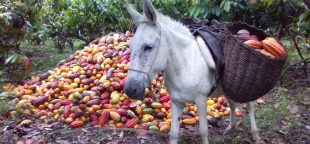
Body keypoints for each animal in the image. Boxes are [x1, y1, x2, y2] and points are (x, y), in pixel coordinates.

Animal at [123, 0, 262, 143]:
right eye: (130, 46)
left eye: (148, 47)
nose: (130, 89)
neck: (185, 67)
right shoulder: (176, 102)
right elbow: (173, 133)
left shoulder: (201, 101)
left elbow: (204, 131)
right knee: (232, 104)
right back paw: (231, 128)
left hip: (244, 88)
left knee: (250, 106)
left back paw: (255, 134)